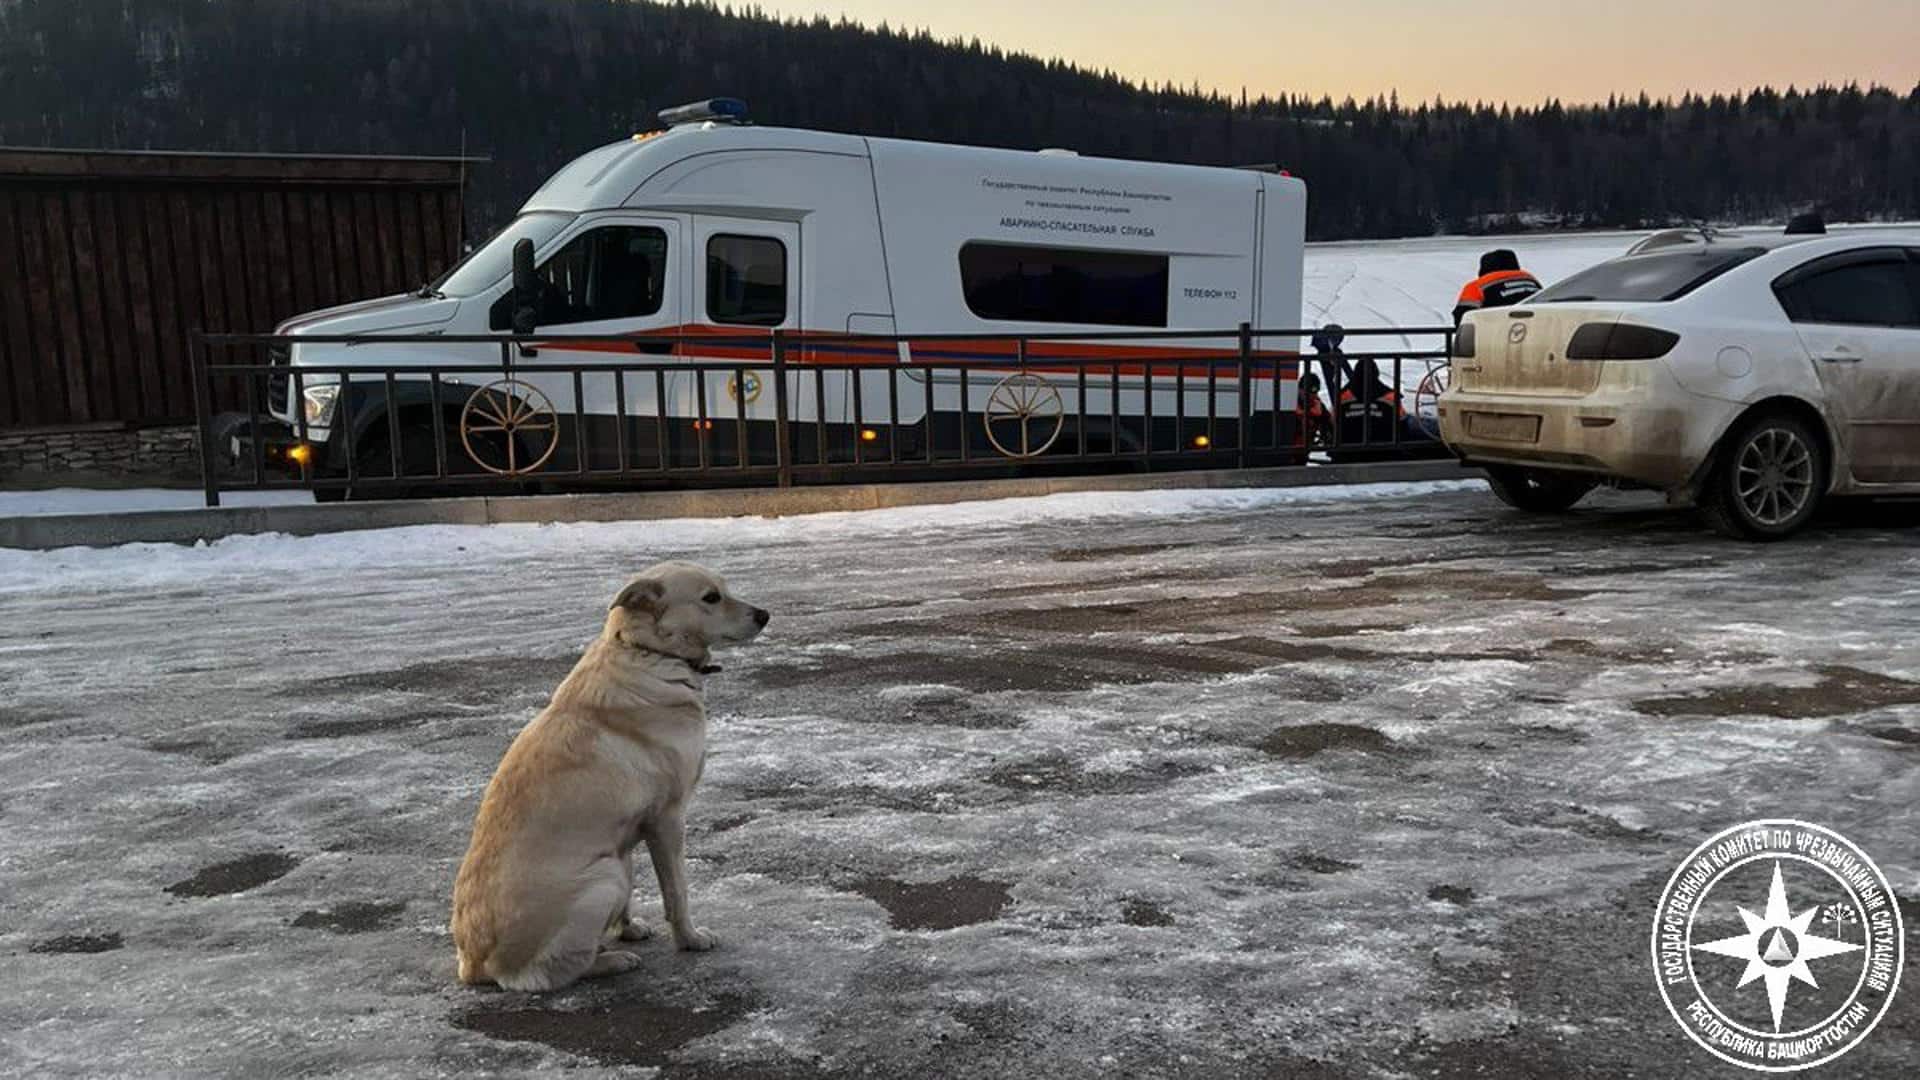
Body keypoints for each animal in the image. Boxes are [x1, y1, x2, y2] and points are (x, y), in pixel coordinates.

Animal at [453, 557, 768, 991]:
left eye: (725, 588)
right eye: (711, 597)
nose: (765, 615)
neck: (648, 652)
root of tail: (474, 965)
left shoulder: (628, 832)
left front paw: (629, 927)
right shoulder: (669, 819)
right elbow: (677, 893)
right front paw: (689, 939)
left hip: (613, 865)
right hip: (605, 877)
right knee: (551, 973)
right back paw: (613, 961)